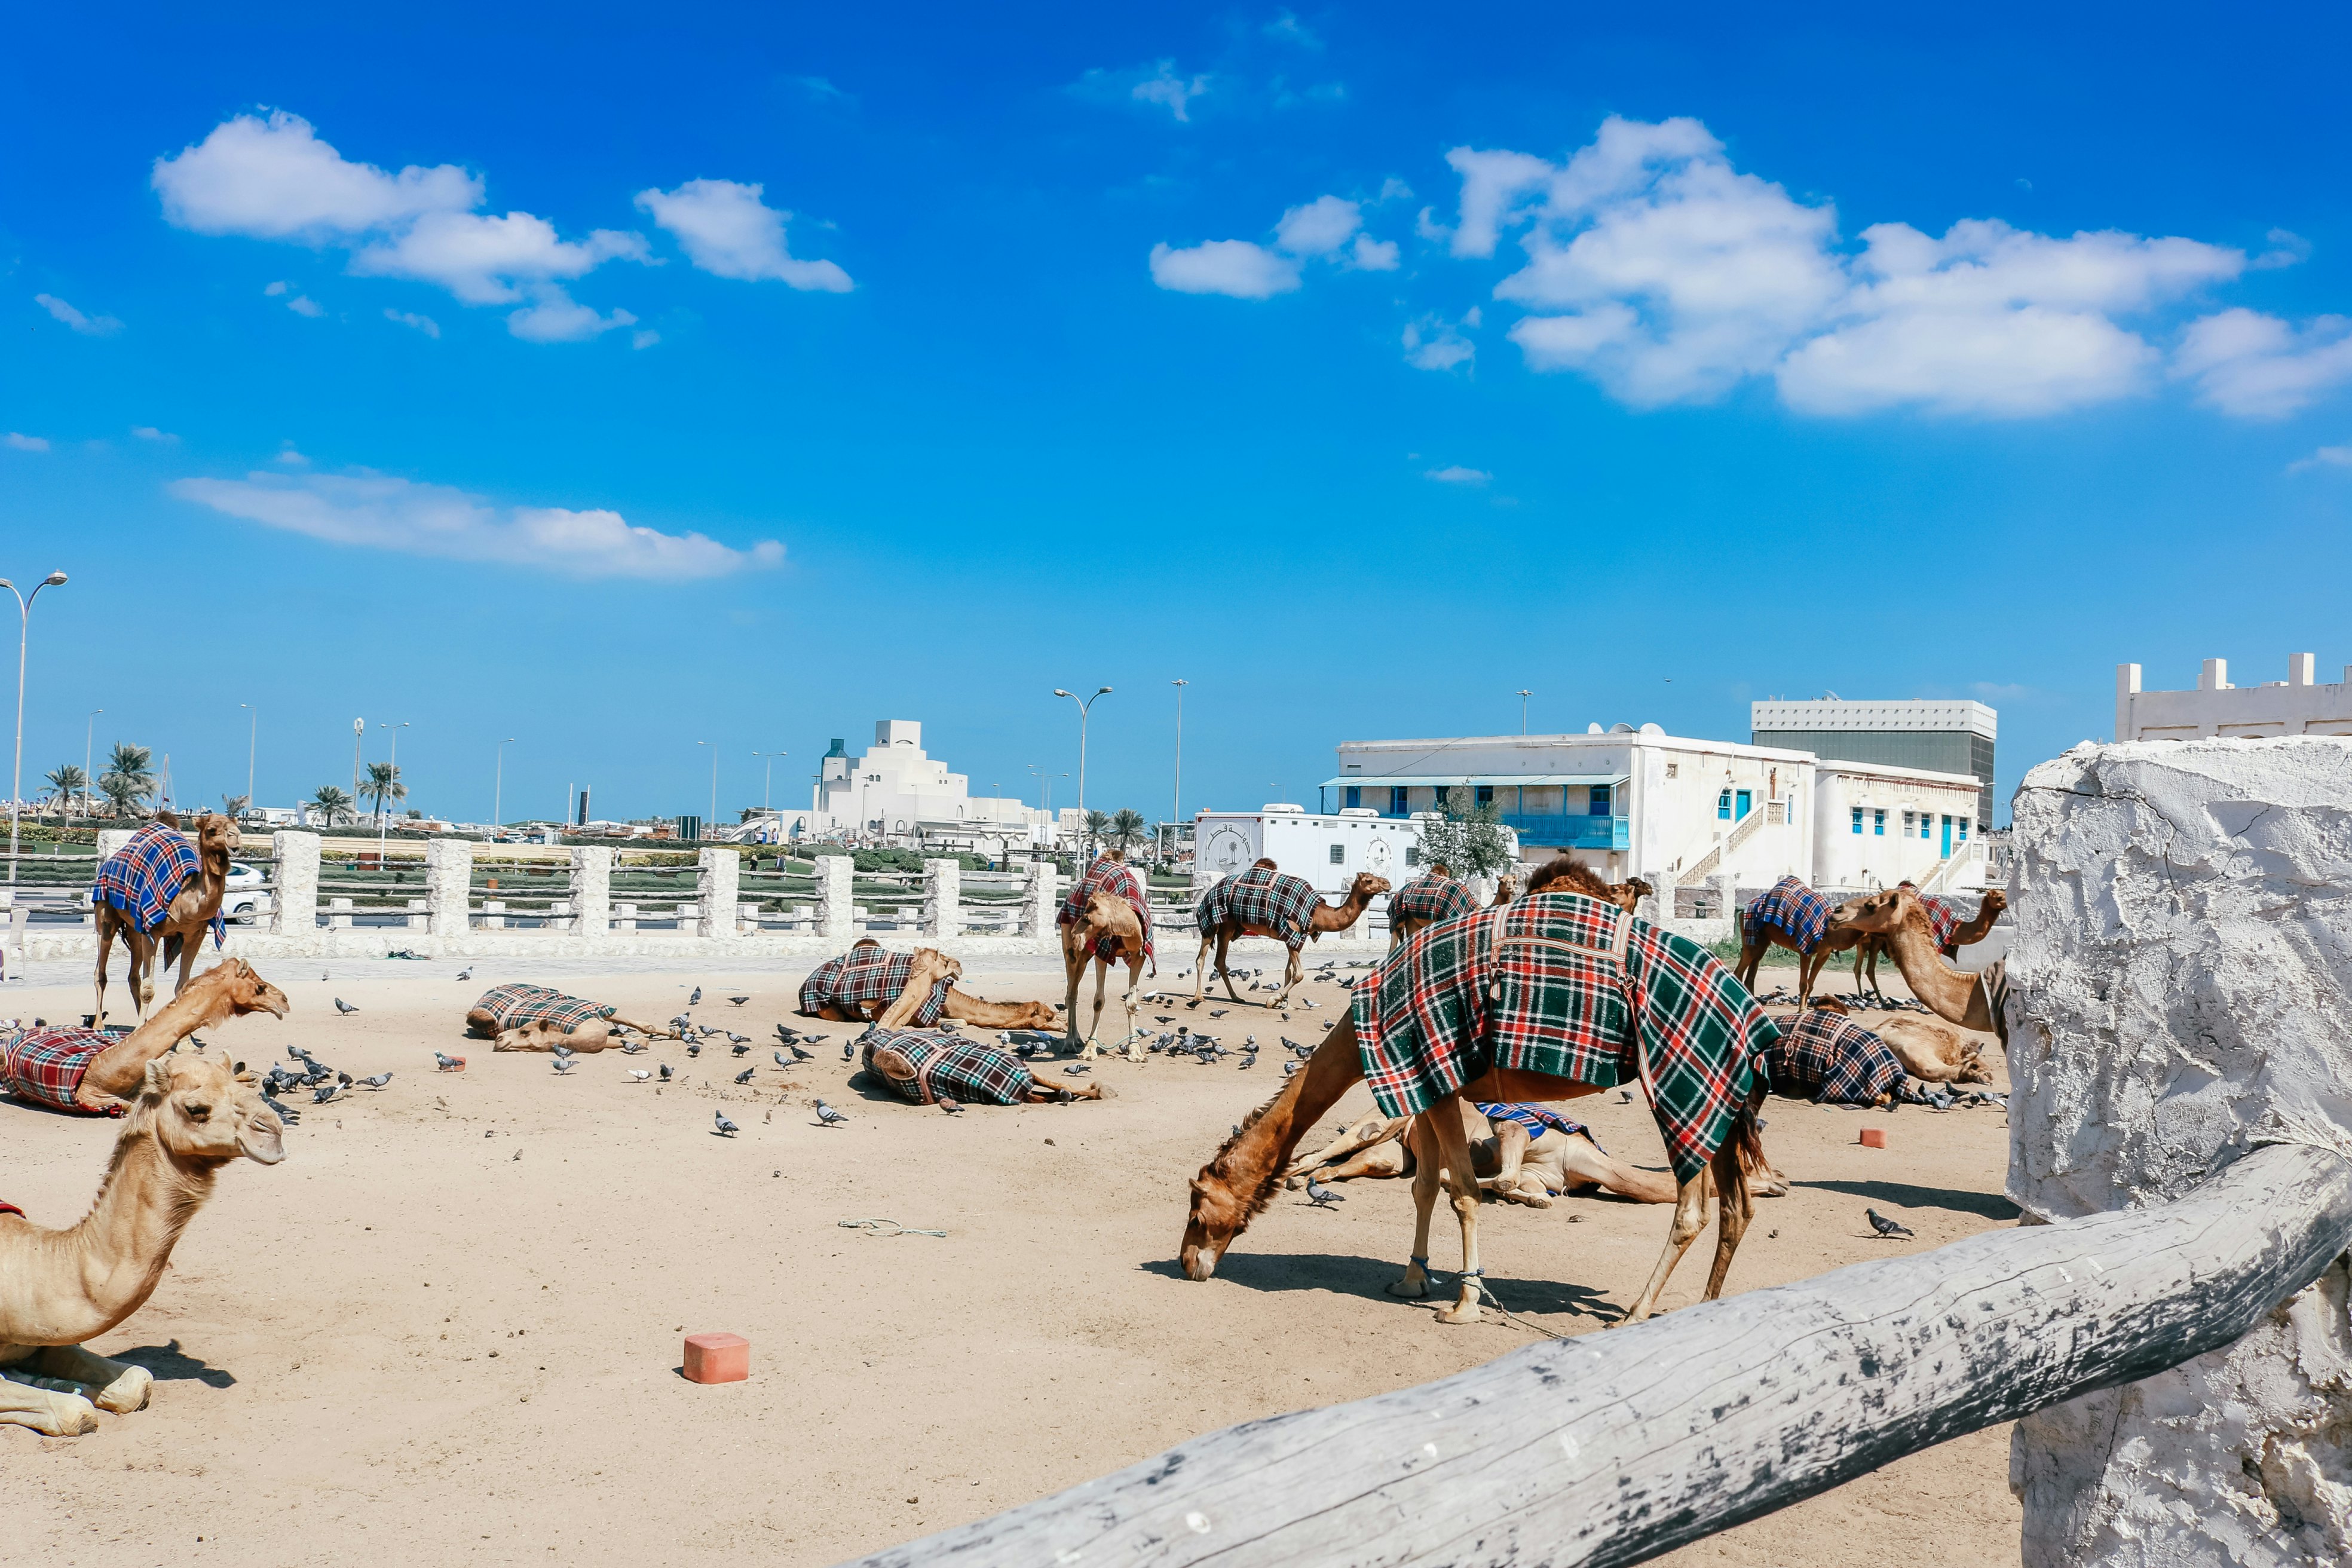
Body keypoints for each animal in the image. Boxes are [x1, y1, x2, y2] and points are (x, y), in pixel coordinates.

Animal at [1, 1050, 286, 1435]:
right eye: (196, 1108)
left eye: (244, 1085)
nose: (273, 1130)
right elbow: (76, 1412)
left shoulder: (43, 1339)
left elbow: (137, 1380)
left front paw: (61, 1382)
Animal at [93, 813, 238, 1023]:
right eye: (212, 830)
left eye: (236, 824)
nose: (236, 837)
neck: (184, 900)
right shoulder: (152, 931)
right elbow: (148, 990)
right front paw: (139, 1030)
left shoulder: (196, 933)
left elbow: (183, 987)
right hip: (105, 912)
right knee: (101, 968)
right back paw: (99, 1024)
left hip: (135, 927)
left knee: (133, 975)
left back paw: (145, 1022)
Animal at [1193, 862, 1389, 1009]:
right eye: (1369, 880)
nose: (1387, 883)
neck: (1316, 913)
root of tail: (1210, 891)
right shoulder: (1291, 932)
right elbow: (1299, 974)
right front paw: (1274, 1000)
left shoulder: (1295, 936)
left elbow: (1289, 971)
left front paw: (1285, 1003)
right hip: (1211, 921)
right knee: (1201, 958)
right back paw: (1198, 997)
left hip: (1228, 926)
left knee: (1220, 961)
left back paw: (1236, 998)